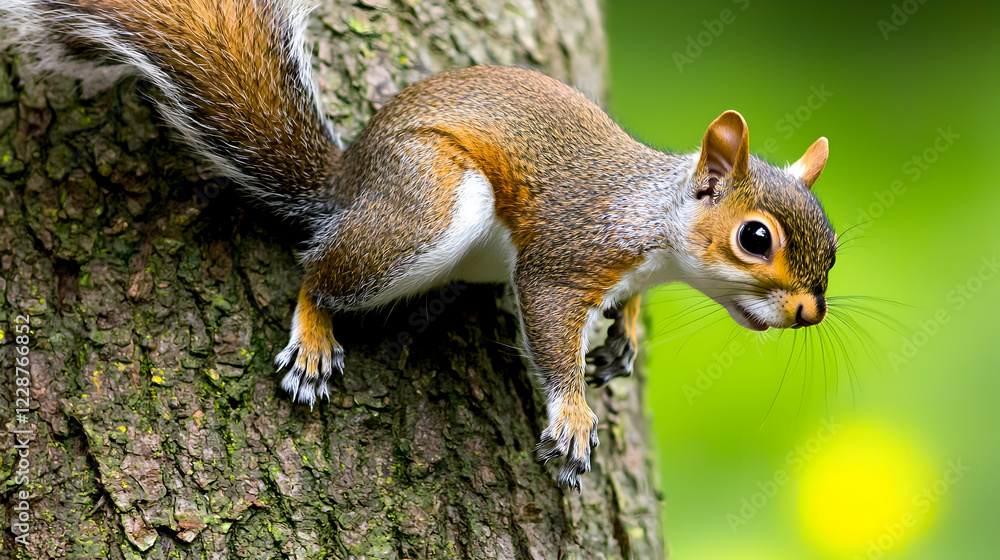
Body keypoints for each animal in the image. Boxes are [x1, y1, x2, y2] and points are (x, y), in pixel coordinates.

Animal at [4, 0, 837, 490]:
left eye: (831, 249)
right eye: (755, 238)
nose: (810, 313)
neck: (655, 226)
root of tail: (350, 183)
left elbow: (622, 309)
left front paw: (623, 342)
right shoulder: (569, 253)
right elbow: (549, 319)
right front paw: (572, 416)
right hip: (427, 206)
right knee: (317, 269)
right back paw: (316, 336)